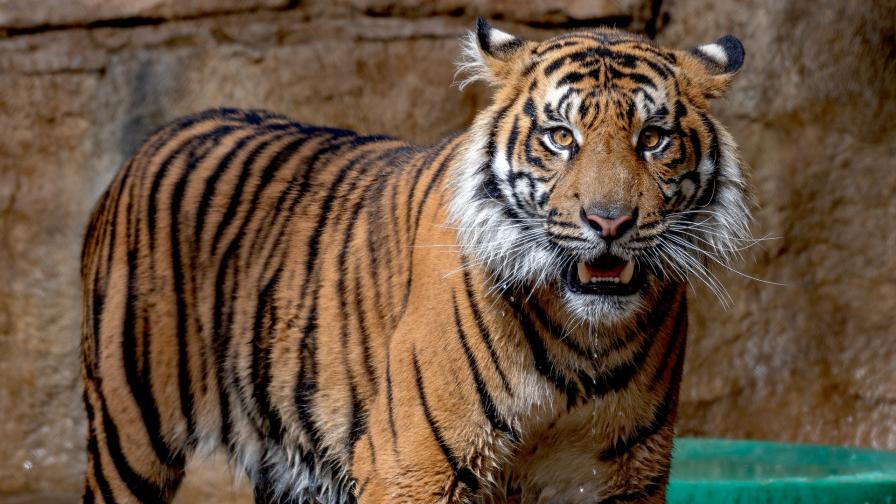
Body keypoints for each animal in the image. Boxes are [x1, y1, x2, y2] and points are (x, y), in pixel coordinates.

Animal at [80, 17, 750, 504]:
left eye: (652, 139)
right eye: (561, 137)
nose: (609, 222)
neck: (585, 342)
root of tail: (166, 132)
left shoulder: (622, 478)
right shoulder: (414, 466)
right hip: (128, 436)